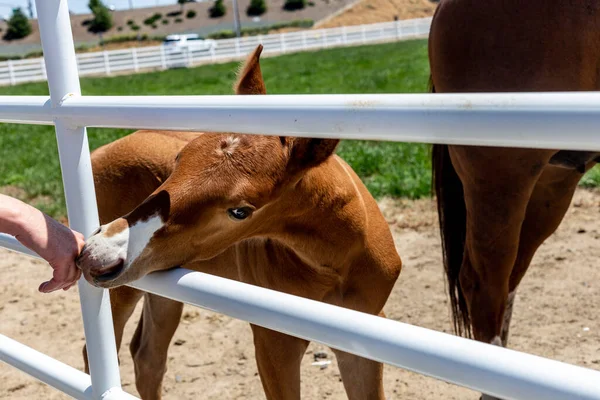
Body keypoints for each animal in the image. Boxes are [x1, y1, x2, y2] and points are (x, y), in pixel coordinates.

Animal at [76, 44, 404, 400]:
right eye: (179, 159)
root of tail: (99, 152)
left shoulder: (362, 339)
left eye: (240, 211)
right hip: (126, 290)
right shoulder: (274, 342)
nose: (97, 251)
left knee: (148, 356)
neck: (336, 264)